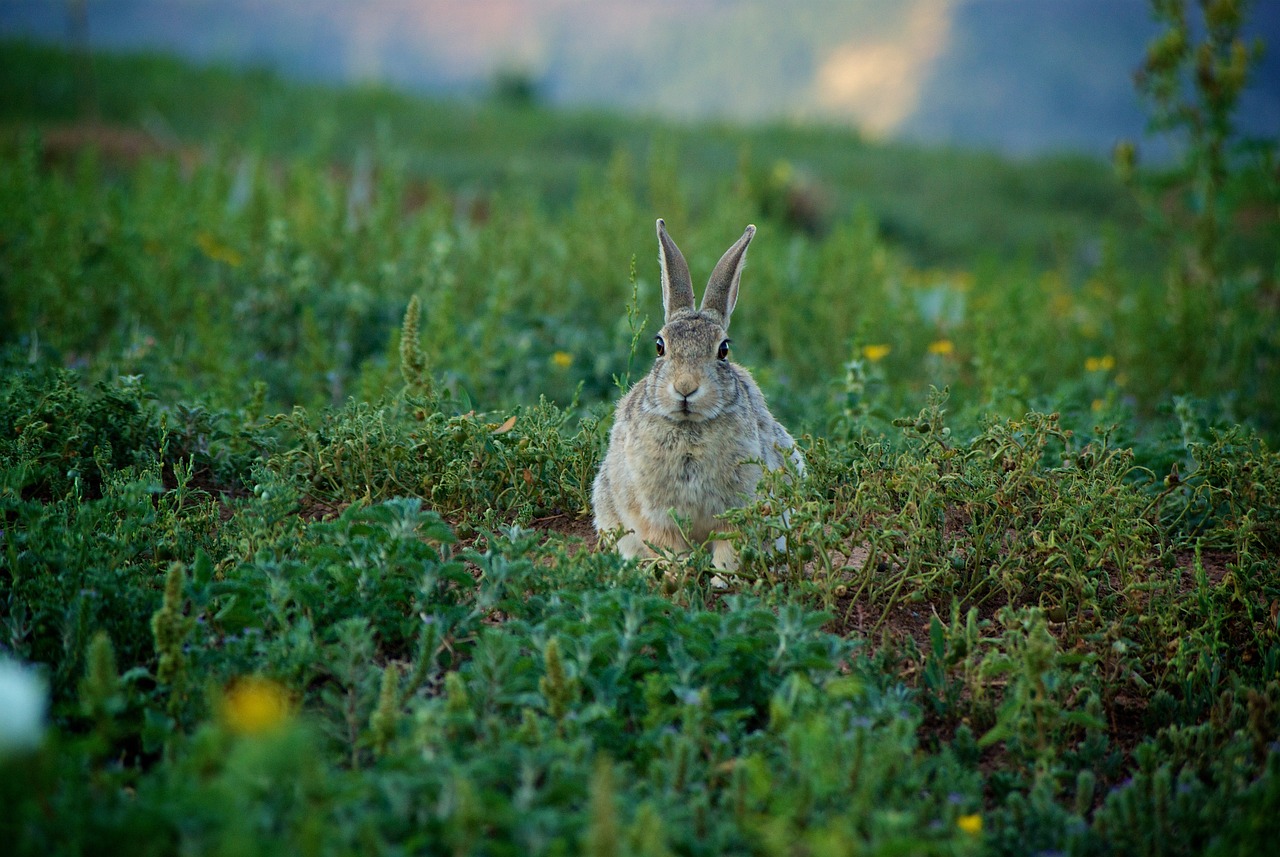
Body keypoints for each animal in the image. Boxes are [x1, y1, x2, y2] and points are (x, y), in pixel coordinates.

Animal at [588, 220, 798, 578]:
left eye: (723, 350)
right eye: (659, 346)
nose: (685, 387)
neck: (689, 427)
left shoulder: (740, 506)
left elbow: (731, 545)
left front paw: (723, 578)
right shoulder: (655, 514)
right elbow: (669, 545)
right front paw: (679, 573)